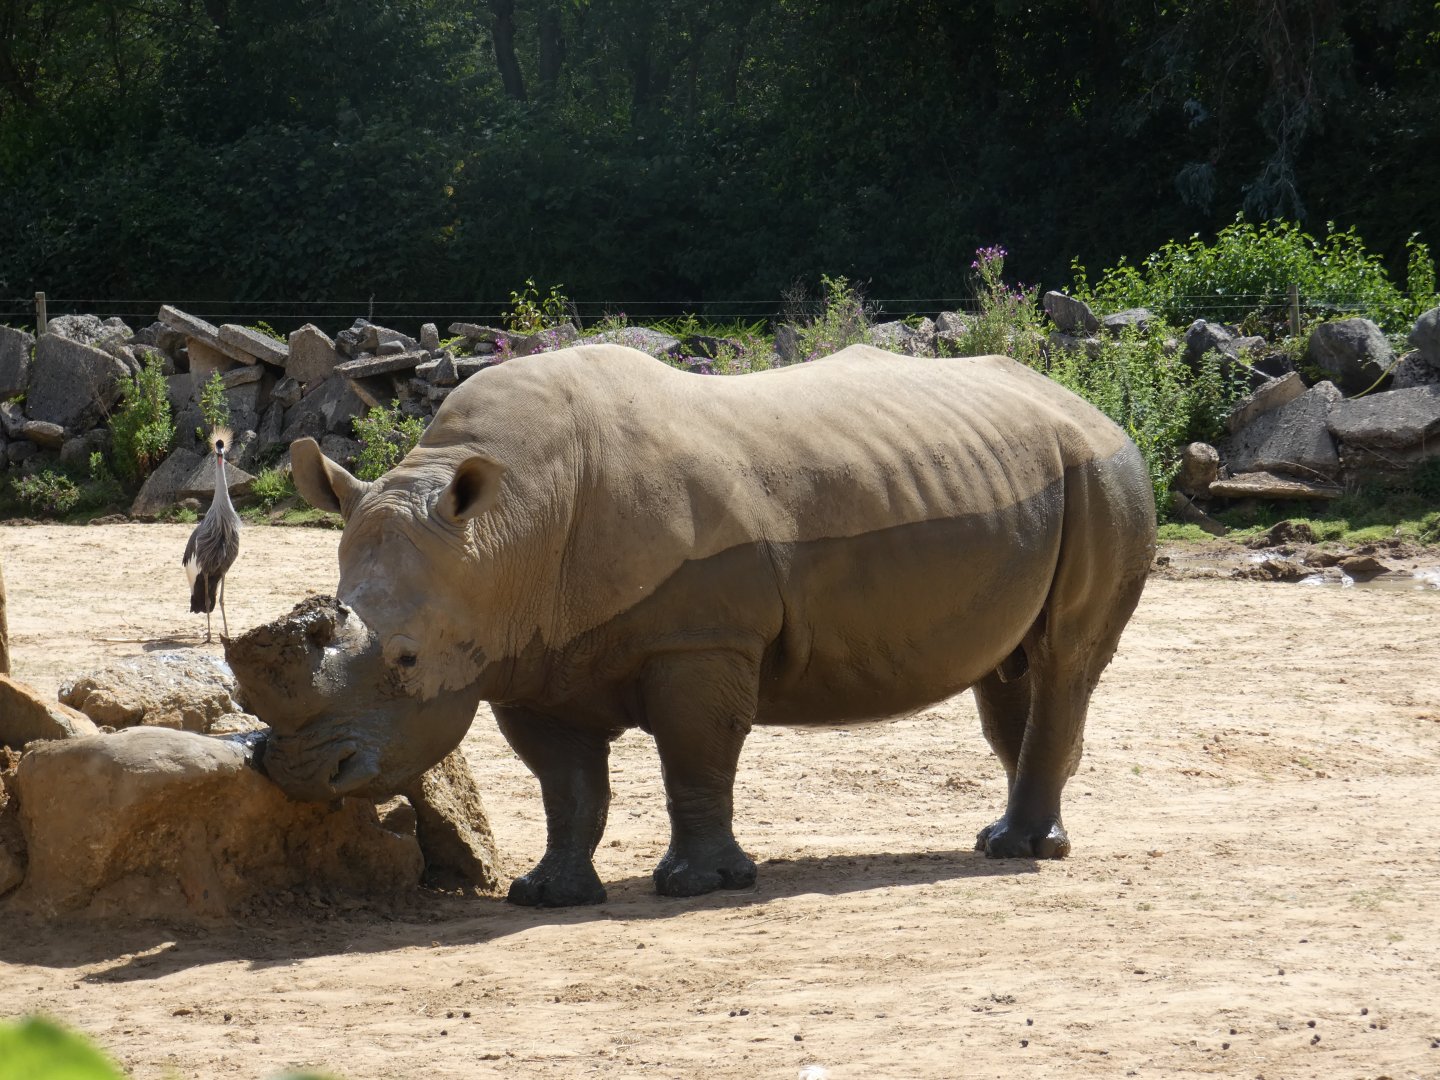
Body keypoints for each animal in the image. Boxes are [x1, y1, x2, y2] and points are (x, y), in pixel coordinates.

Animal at [241, 343, 1156, 906]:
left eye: (402, 659)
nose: (294, 770)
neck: (505, 535)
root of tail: (1086, 404)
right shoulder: (525, 655)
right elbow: (565, 784)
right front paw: (549, 894)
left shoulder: (701, 639)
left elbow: (695, 754)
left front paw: (700, 884)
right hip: (1029, 478)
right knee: (1010, 670)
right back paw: (1003, 837)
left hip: (1106, 471)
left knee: (1066, 659)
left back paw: (1022, 853)